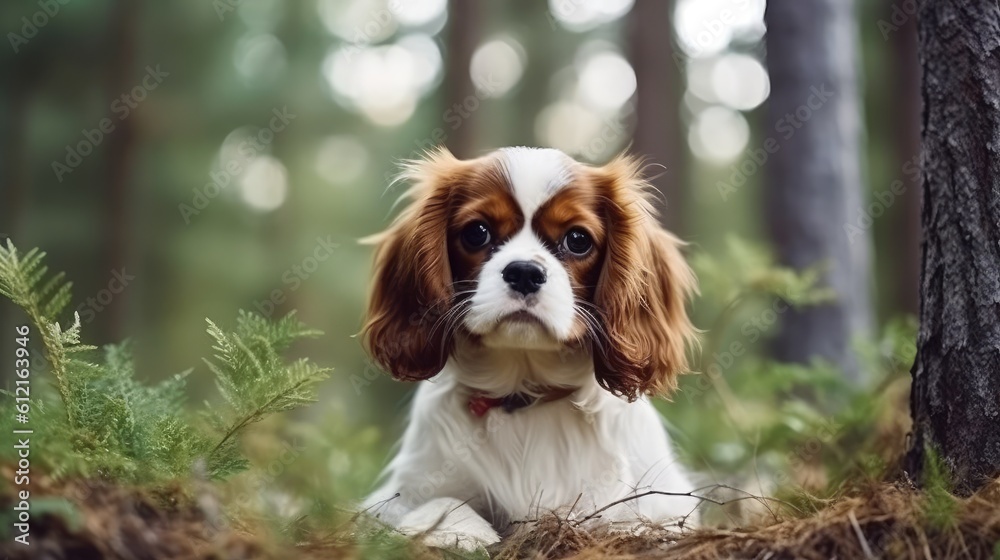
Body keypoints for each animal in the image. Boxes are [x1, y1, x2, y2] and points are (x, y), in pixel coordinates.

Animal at [364, 147, 700, 548]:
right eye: (477, 233)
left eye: (578, 239)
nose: (524, 272)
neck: (524, 394)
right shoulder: (400, 495)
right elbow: (441, 502)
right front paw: (460, 530)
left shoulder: (661, 507)